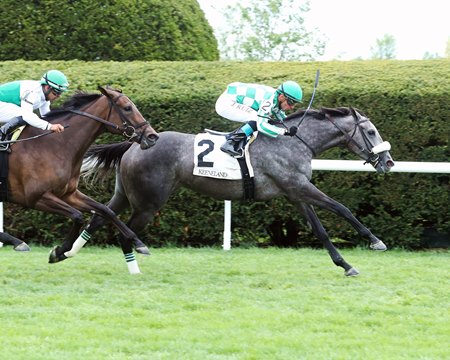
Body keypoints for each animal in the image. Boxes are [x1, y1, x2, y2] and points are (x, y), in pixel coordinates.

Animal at [0, 86, 159, 272]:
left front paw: (138, 242)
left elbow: (106, 211)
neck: (53, 145)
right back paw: (18, 242)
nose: (152, 136)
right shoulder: (36, 197)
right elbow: (78, 216)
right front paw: (59, 252)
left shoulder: (69, 194)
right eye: (127, 108)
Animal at [59, 107, 394, 276]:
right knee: (124, 231)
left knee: (101, 216)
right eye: (371, 131)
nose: (389, 161)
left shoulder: (295, 193)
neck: (294, 141)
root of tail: (134, 144)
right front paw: (376, 241)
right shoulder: (300, 187)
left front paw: (345, 265)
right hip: (148, 202)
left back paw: (63, 252)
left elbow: (320, 230)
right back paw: (134, 263)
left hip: (126, 194)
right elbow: (341, 208)